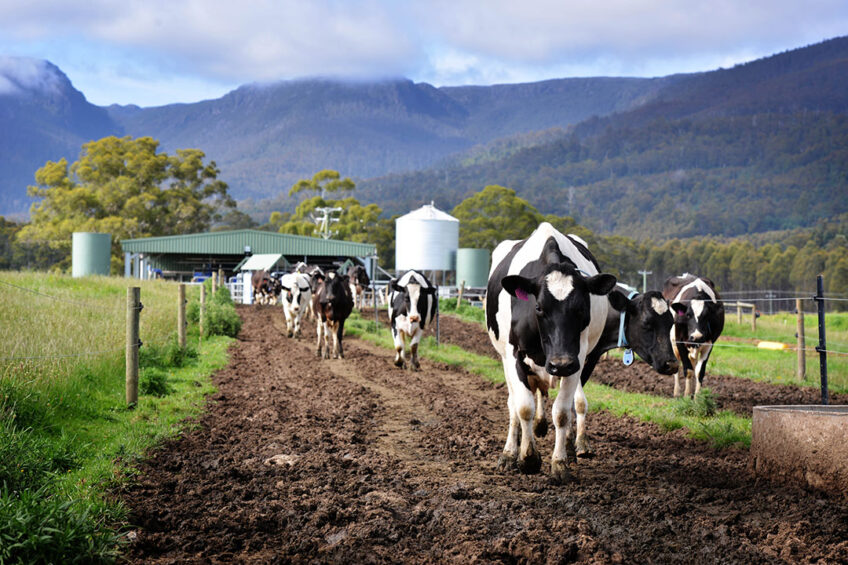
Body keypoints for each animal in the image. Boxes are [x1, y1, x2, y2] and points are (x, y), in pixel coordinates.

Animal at [484, 223, 616, 482]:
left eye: (581, 308)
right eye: (538, 307)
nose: (560, 364)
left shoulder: (578, 358)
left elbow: (563, 412)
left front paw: (560, 463)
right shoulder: (513, 355)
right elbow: (523, 406)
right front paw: (527, 458)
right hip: (506, 359)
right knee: (513, 404)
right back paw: (509, 453)